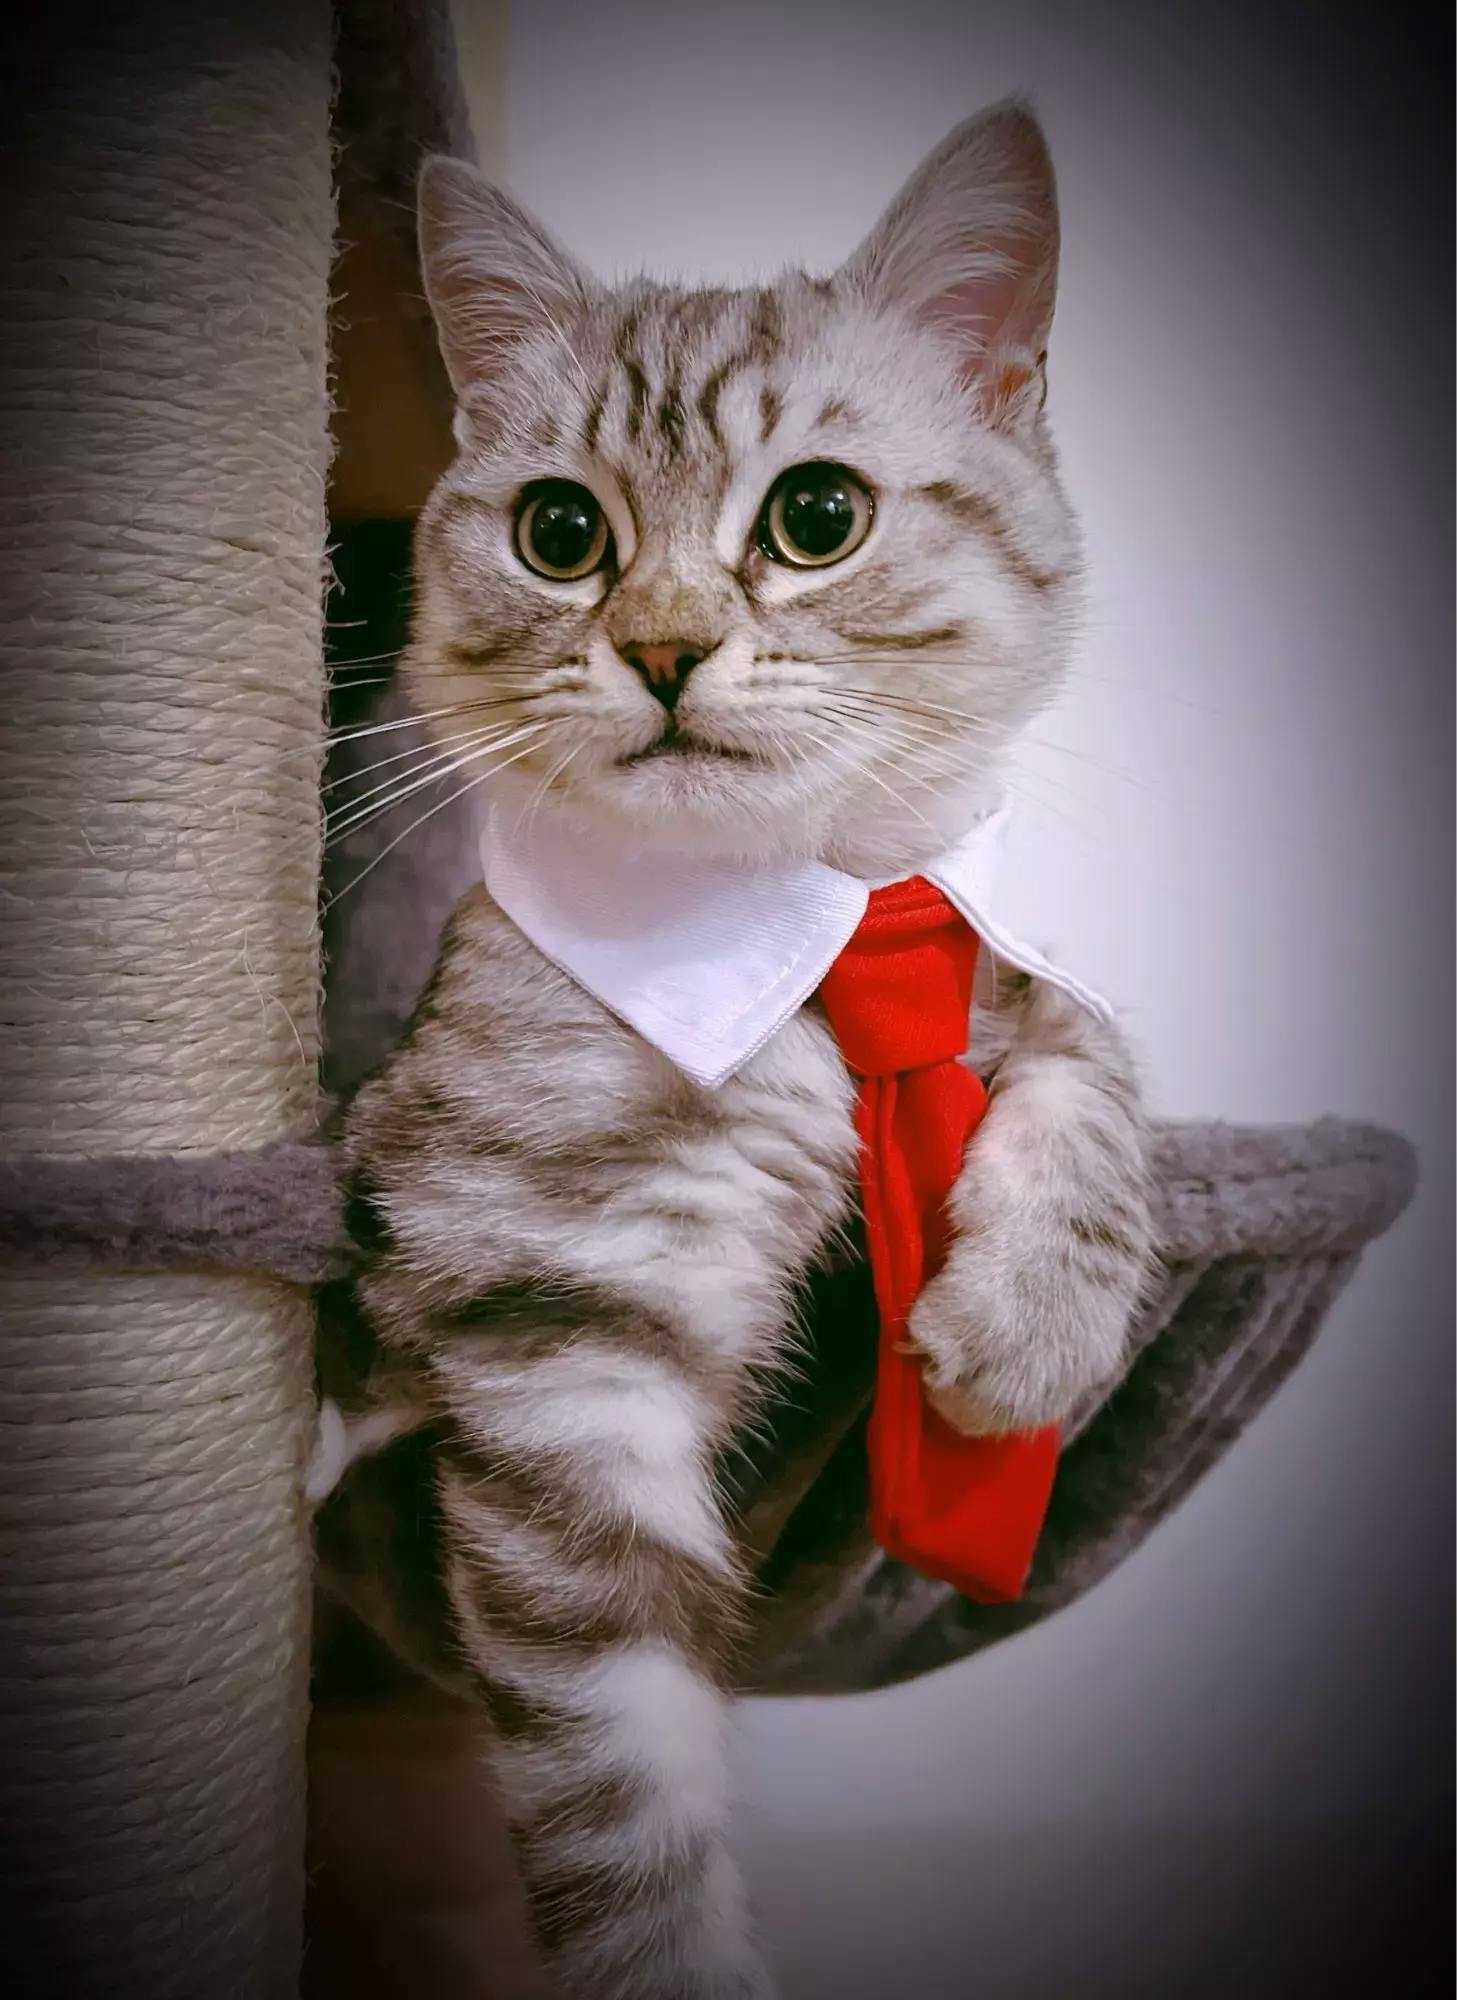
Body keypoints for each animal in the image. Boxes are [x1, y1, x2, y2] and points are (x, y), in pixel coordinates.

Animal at [324, 99, 1153, 2000]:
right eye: (559, 531)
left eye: (817, 516)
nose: (662, 646)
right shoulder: (556, 1324)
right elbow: (626, 1805)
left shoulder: (1002, 959)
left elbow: (1089, 1046)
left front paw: (1029, 1329)